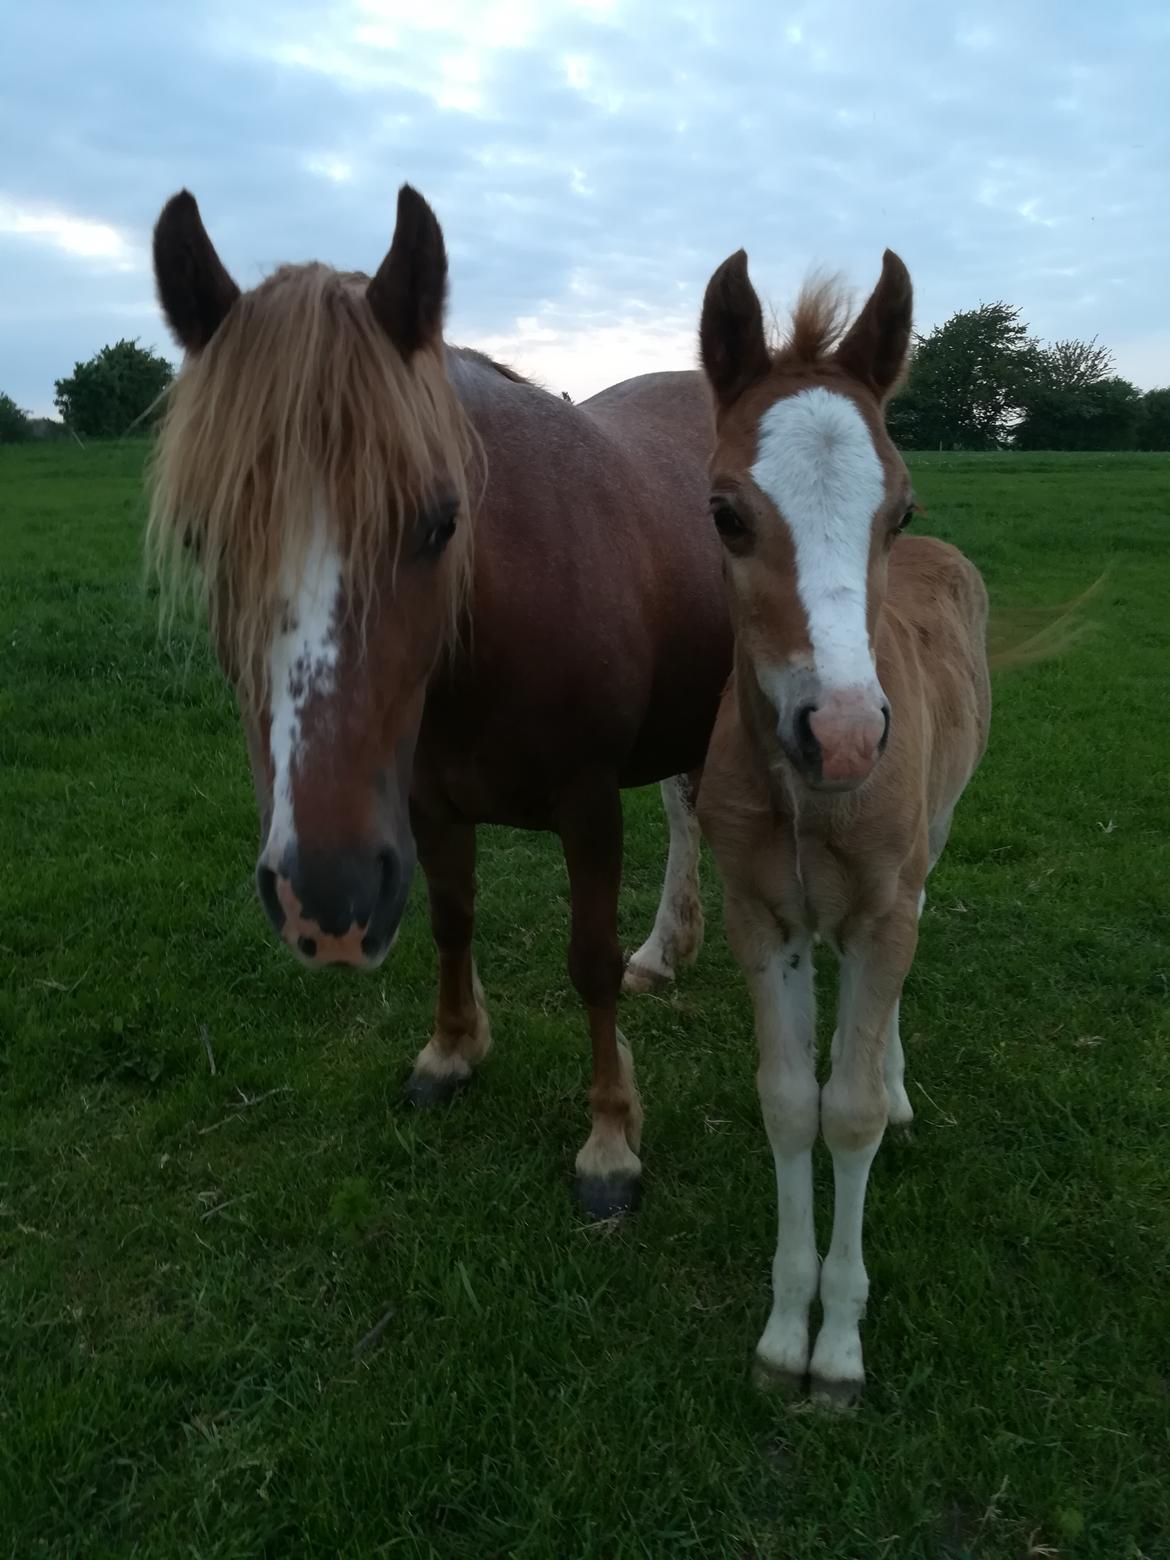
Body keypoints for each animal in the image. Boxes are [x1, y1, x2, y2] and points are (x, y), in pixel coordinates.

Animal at [149, 185, 730, 1216]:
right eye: (201, 538)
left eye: (438, 522)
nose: (325, 901)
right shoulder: (427, 803)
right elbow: (452, 918)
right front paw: (452, 1052)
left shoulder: (588, 804)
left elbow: (587, 961)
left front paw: (610, 1140)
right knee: (689, 805)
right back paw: (667, 948)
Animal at [695, 252, 992, 1404]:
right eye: (725, 514)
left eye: (898, 510)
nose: (848, 736)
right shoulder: (758, 915)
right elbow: (791, 1101)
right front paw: (786, 1333)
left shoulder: (880, 910)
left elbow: (852, 1110)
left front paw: (841, 1350)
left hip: (928, 849)